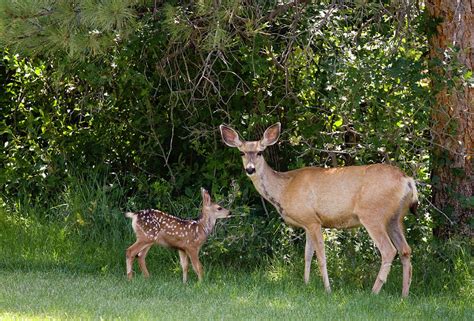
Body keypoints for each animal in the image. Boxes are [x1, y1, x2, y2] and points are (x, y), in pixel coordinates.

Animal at [220, 122, 416, 296]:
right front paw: (306, 284)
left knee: (389, 250)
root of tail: (407, 180)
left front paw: (328, 290)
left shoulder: (313, 221)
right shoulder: (307, 222)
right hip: (396, 218)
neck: (284, 188)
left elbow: (321, 257)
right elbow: (307, 255)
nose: (250, 169)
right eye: (242, 152)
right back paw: (404, 295)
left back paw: (373, 292)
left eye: (260, 152)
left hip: (373, 214)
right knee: (405, 250)